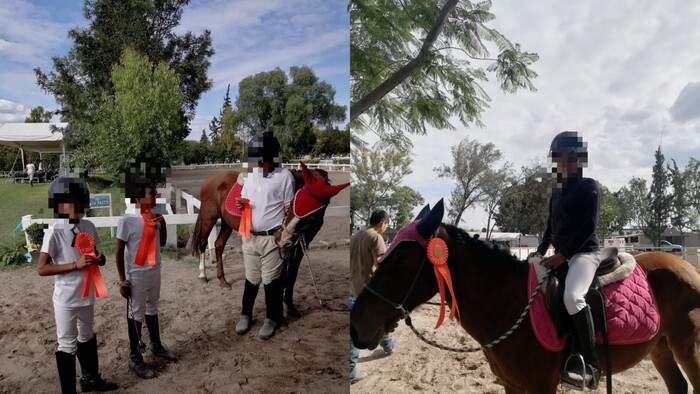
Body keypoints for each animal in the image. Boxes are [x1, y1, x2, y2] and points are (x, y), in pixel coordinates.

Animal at [193, 162, 348, 318]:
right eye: (292, 203)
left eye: (311, 217)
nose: (282, 238)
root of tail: (212, 179)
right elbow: (281, 277)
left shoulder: (299, 247)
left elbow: (291, 276)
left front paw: (290, 307)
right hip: (209, 218)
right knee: (203, 244)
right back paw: (202, 275)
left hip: (226, 223)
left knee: (218, 245)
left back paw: (223, 280)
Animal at [350, 203, 700, 394]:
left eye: (402, 259)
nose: (356, 325)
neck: (507, 303)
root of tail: (688, 268)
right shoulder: (512, 384)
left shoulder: (541, 386)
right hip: (660, 348)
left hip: (688, 348)